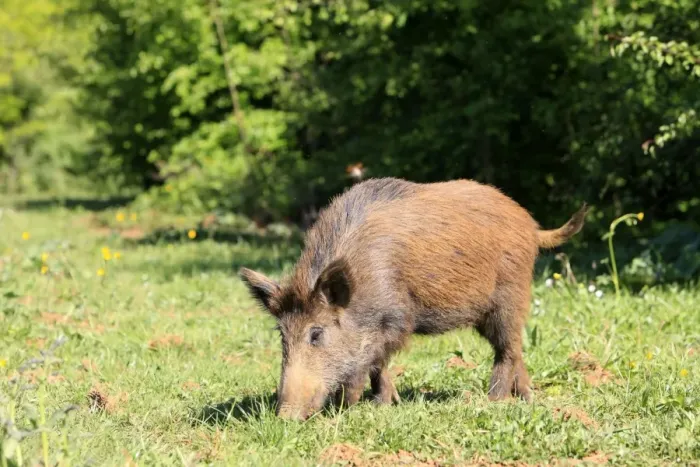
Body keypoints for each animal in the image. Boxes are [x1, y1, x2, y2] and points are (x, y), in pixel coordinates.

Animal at [239, 177, 587, 420]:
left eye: (316, 333)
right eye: (282, 335)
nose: (285, 417)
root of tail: (532, 225)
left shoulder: (397, 319)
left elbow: (374, 360)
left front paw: (363, 405)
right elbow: (376, 364)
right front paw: (386, 403)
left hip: (508, 297)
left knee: (507, 349)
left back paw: (494, 401)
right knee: (515, 348)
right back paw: (526, 398)